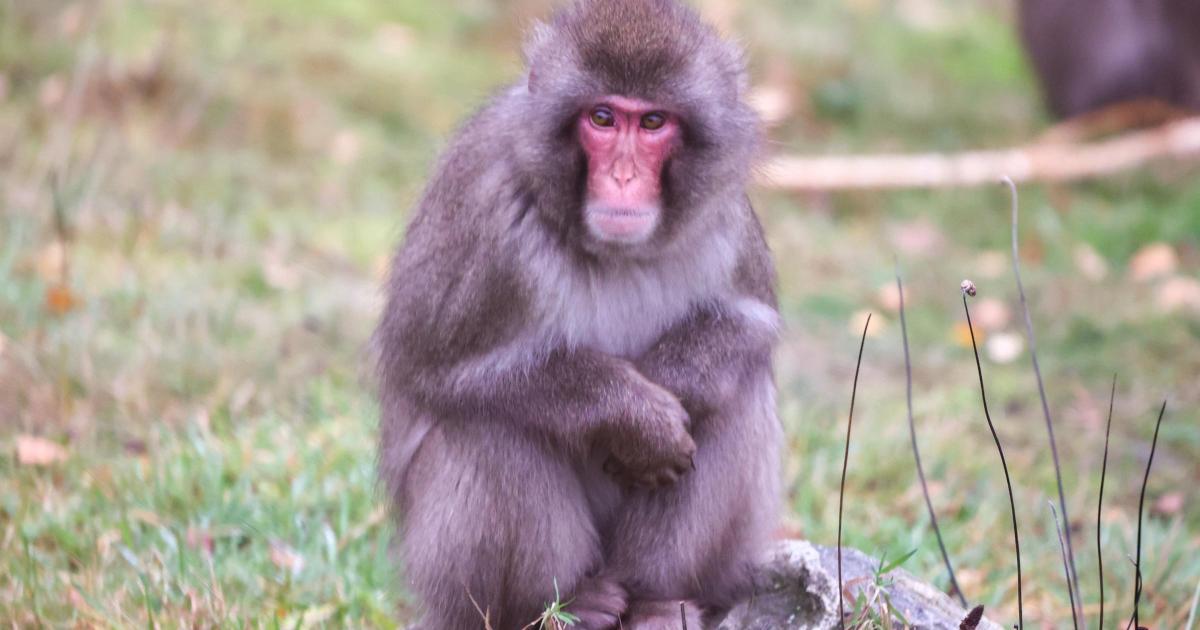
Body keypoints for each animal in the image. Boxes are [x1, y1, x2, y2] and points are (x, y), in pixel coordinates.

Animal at [374, 0, 781, 628]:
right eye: (602, 118)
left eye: (653, 122)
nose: (622, 177)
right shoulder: (485, 216)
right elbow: (437, 370)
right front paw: (635, 417)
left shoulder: (724, 218)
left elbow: (749, 323)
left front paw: (673, 384)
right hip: (454, 590)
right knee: (488, 424)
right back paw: (561, 603)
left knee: (737, 391)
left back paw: (655, 598)